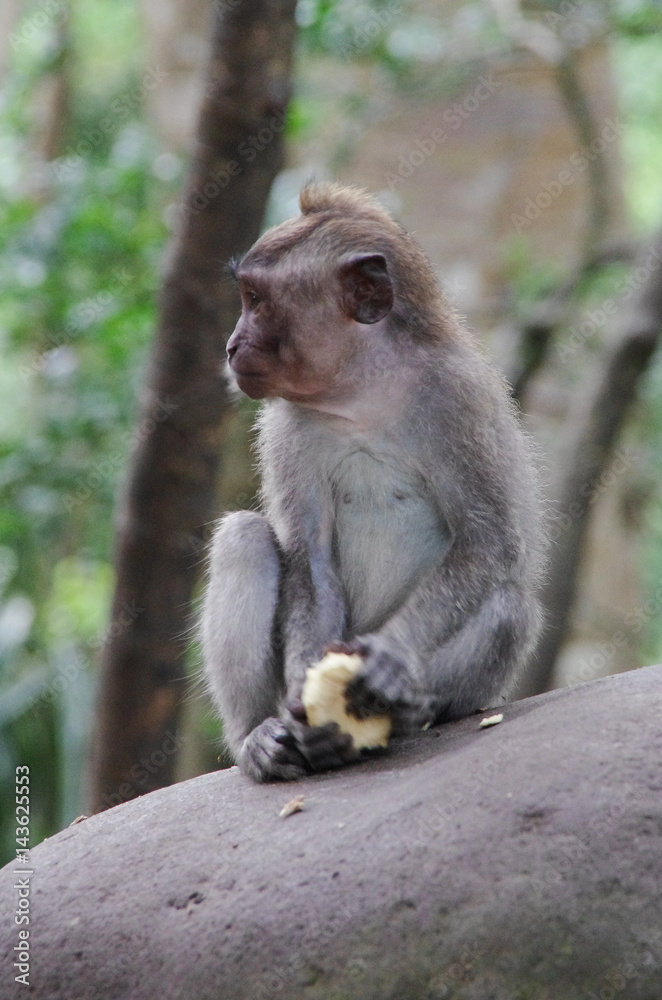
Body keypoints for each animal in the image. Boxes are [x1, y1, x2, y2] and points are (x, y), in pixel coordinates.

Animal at [201, 184, 544, 784]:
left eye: (256, 300)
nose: (231, 345)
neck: (361, 393)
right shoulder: (286, 427)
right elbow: (310, 557)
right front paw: (303, 692)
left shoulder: (458, 400)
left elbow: (488, 539)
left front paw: (391, 656)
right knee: (242, 537)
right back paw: (257, 738)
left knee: (509, 603)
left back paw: (411, 710)